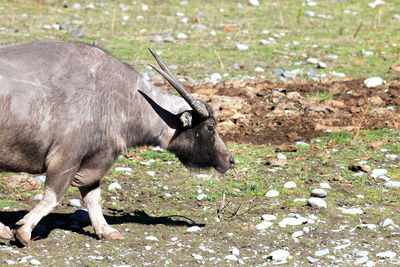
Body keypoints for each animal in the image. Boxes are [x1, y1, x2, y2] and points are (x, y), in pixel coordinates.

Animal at [0, 40, 234, 247]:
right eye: (210, 127)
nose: (230, 161)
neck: (116, 97)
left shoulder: (96, 159)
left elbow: (93, 196)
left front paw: (105, 230)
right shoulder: (66, 158)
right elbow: (53, 196)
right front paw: (23, 231)